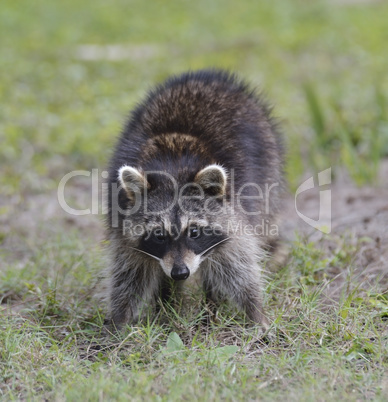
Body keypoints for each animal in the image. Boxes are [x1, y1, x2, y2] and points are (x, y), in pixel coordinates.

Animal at [104, 70, 284, 330]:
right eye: (159, 235)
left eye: (195, 232)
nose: (180, 273)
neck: (172, 168)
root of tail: (209, 77)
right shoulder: (121, 218)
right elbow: (129, 273)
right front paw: (120, 321)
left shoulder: (236, 213)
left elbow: (238, 265)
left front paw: (256, 312)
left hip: (268, 167)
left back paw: (210, 308)